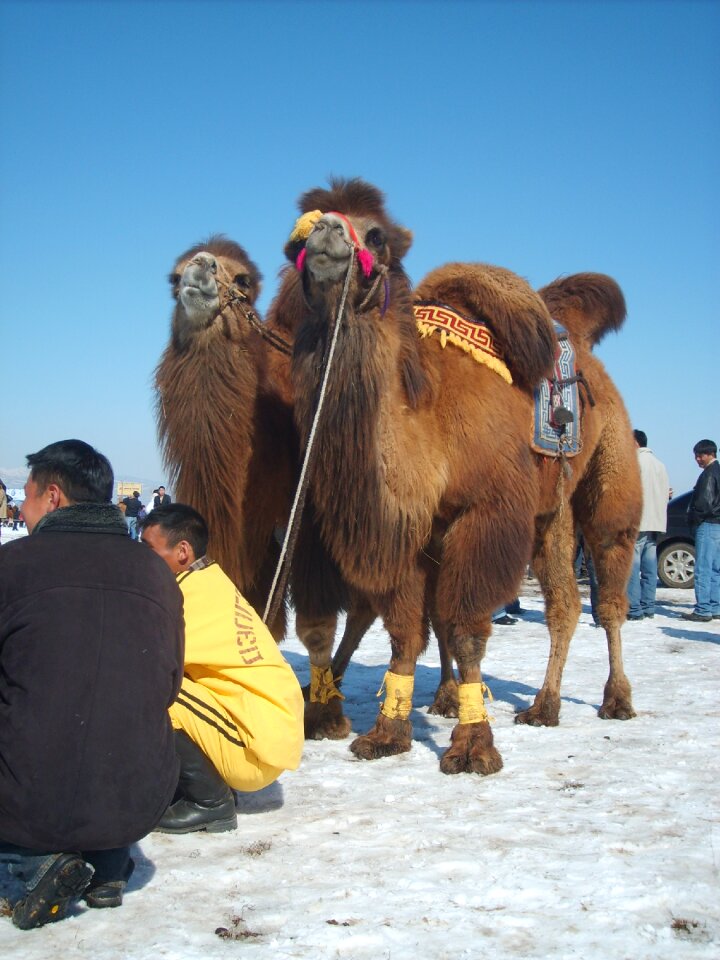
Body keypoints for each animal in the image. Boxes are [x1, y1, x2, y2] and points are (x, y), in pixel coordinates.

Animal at [153, 236, 376, 700]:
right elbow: (258, 612)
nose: (199, 268)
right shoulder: (251, 534)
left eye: (242, 281)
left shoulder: (299, 525)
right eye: (173, 278)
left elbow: (305, 619)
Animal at [272, 180, 640, 772]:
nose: (328, 232)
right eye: (301, 234)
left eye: (375, 234)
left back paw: (616, 700)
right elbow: (406, 631)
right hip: (548, 511)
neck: (428, 420)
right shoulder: (412, 525)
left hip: (610, 479)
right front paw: (387, 733)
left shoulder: (485, 511)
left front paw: (472, 746)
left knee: (607, 592)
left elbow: (466, 630)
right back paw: (543, 706)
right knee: (563, 603)